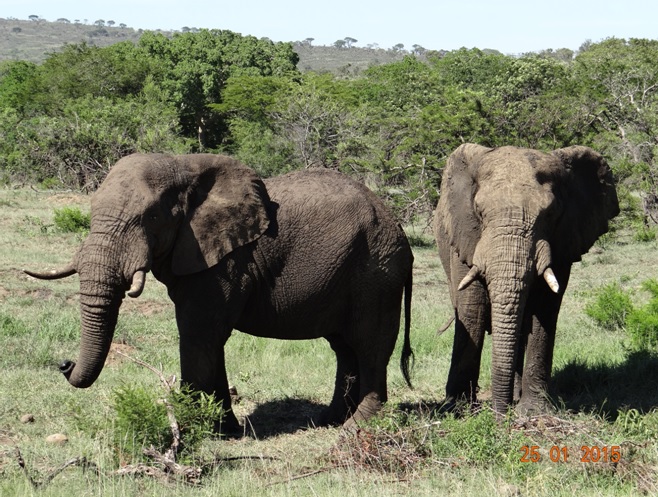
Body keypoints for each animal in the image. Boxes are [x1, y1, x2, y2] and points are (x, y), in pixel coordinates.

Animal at [26, 152, 416, 430]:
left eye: (150, 218)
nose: (64, 363)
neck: (181, 166)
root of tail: (399, 230)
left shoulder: (225, 263)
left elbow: (198, 334)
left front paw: (192, 428)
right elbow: (209, 341)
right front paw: (226, 429)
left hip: (376, 273)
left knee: (369, 345)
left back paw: (357, 427)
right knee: (344, 347)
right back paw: (328, 421)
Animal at [434, 142, 616, 414]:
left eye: (551, 214)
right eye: (479, 211)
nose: (499, 415)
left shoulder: (563, 240)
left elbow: (545, 308)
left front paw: (533, 411)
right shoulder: (465, 235)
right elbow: (472, 308)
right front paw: (459, 409)